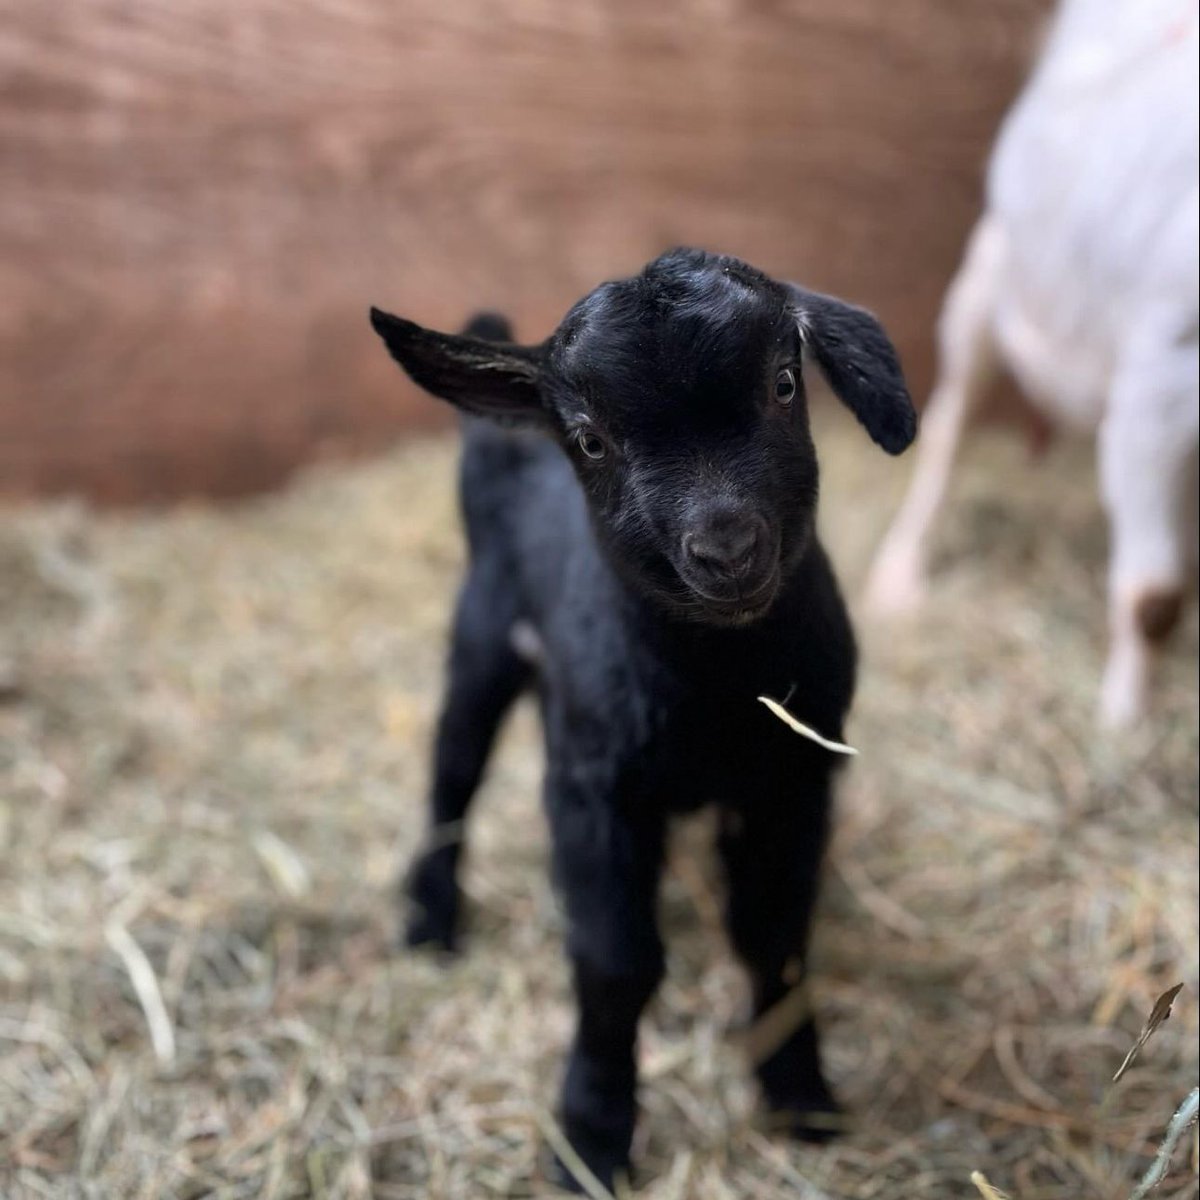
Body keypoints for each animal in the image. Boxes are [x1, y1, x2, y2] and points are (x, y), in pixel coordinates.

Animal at [369, 248, 912, 1195]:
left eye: (782, 384)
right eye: (592, 439)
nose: (727, 548)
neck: (716, 686)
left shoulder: (793, 782)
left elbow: (776, 938)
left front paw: (801, 1094)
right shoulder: (596, 790)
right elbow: (616, 964)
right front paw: (592, 1136)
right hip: (482, 636)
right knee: (452, 775)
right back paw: (432, 918)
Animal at [868, 0, 1195, 724]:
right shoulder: (1157, 388)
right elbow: (1154, 596)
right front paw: (1122, 721)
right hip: (987, 274)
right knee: (948, 424)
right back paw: (896, 579)